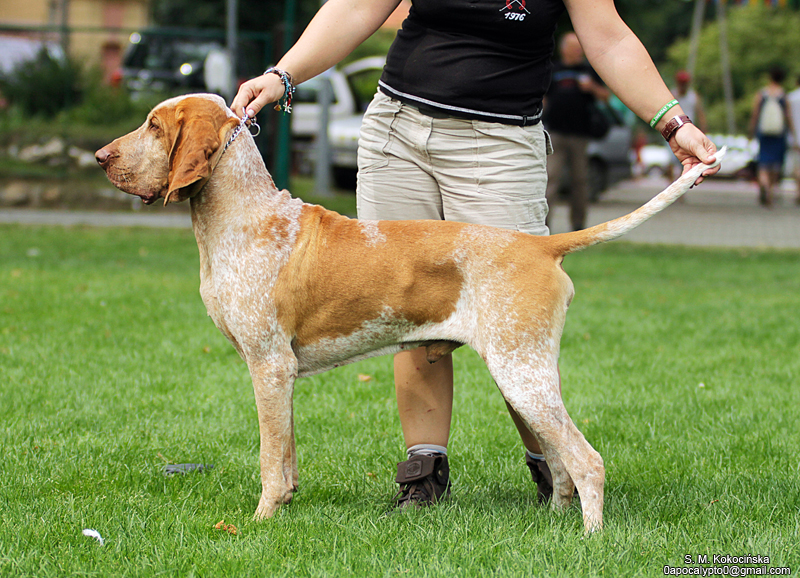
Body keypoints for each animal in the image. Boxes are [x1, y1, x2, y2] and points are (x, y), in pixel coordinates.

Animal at [95, 94, 724, 532]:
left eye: (154, 126)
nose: (100, 157)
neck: (244, 217)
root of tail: (539, 245)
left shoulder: (268, 367)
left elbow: (271, 460)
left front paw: (261, 521)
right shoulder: (282, 375)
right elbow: (289, 455)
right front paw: (287, 506)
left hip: (520, 372)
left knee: (587, 460)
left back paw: (590, 539)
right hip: (529, 376)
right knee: (563, 462)